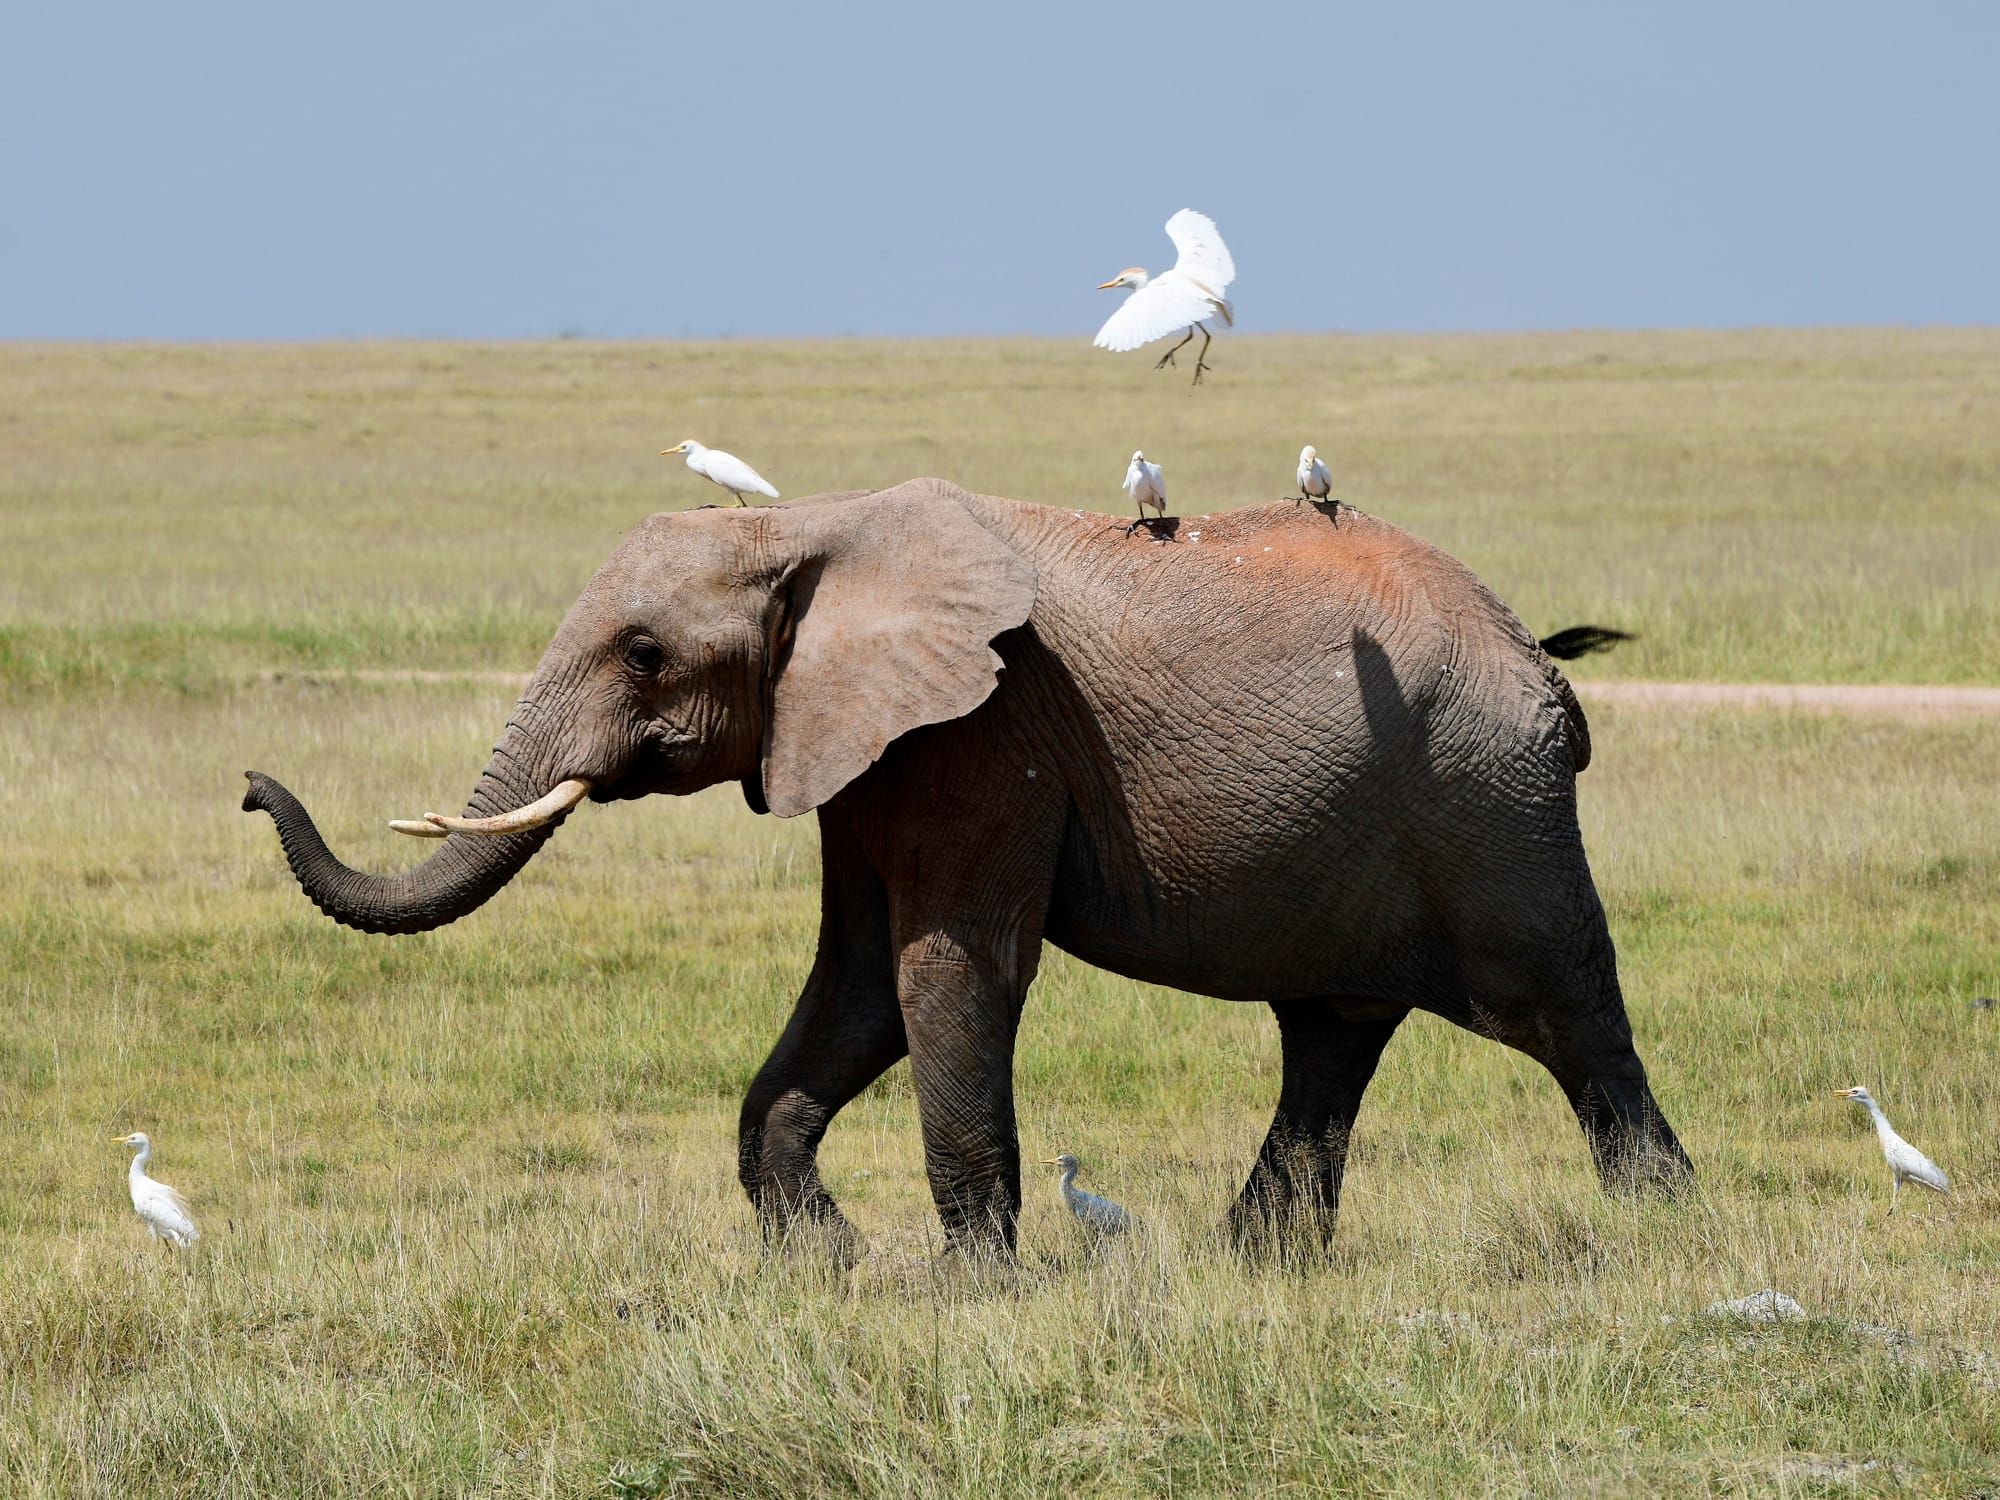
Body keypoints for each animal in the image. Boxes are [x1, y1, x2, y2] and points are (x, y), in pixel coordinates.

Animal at [243, 479, 1691, 1259]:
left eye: (644, 654)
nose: (255, 786)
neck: (810, 524)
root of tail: (1543, 663)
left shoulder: (986, 736)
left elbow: (947, 973)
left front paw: (968, 1289)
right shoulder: (865, 748)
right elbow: (854, 986)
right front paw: (826, 1264)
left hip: (1488, 805)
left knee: (1567, 1014)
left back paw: (1656, 1236)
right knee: (1329, 1034)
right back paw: (1256, 1265)